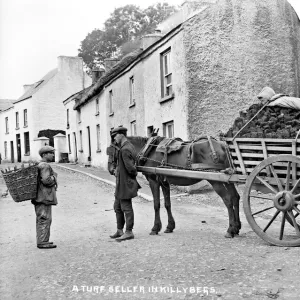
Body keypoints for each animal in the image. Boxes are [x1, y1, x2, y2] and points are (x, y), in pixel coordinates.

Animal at [106, 135, 240, 238]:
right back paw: (237, 227)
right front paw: (170, 226)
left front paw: (155, 228)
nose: (111, 169)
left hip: (216, 180)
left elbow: (156, 204)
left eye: (110, 151)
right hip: (228, 179)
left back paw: (230, 230)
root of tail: (222, 145)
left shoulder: (153, 180)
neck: (148, 150)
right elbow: (167, 204)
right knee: (235, 197)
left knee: (228, 200)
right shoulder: (164, 182)